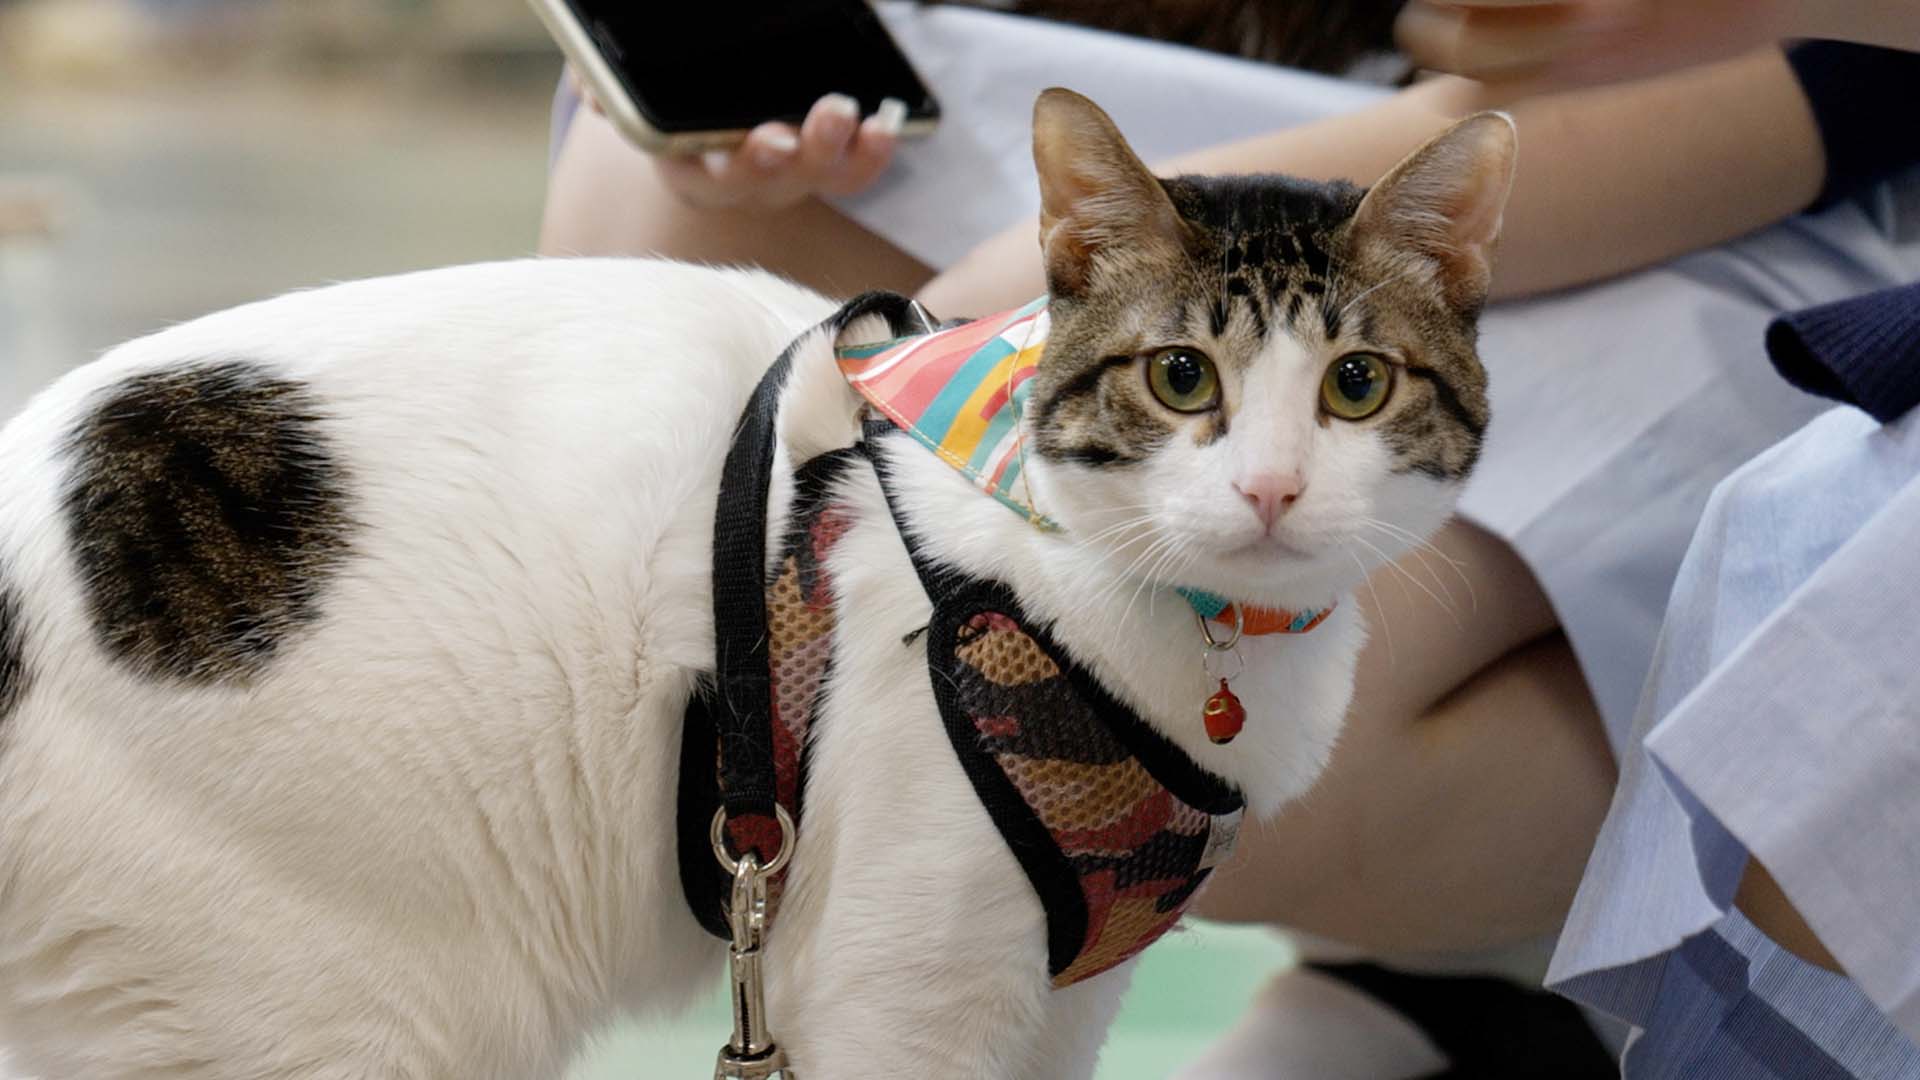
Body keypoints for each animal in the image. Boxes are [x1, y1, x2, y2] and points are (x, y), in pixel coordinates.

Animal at [0, 88, 1512, 1068]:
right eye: (1183, 378)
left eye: (1357, 385)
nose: (1272, 490)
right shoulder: (902, 994)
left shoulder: (1065, 1002)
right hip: (343, 1005)